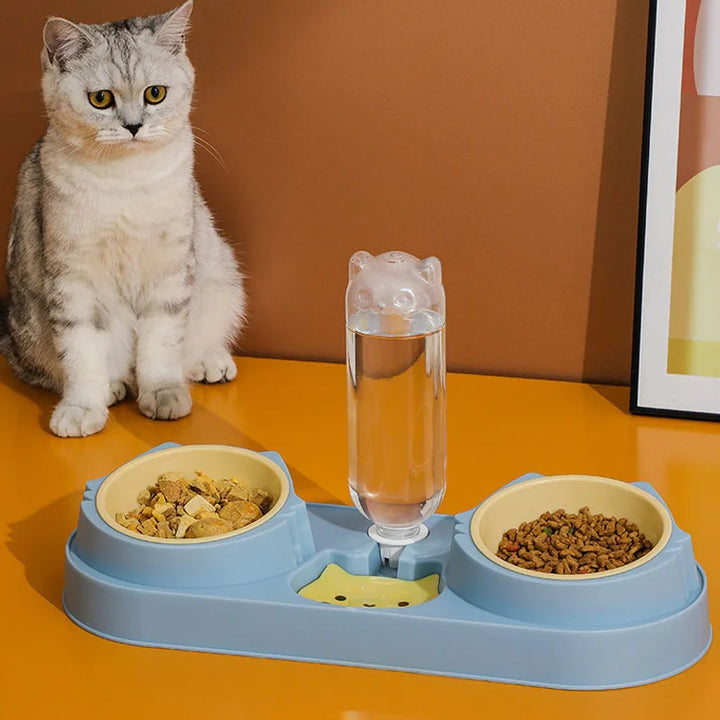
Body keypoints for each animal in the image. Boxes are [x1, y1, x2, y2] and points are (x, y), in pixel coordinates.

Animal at [0, 2, 246, 438]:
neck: (127, 180)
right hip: (27, 333)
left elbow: (162, 344)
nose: (133, 126)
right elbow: (81, 353)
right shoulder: (74, 278)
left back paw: (209, 360)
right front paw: (83, 406)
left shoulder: (170, 270)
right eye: (100, 99)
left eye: (155, 93)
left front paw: (163, 393)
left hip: (221, 276)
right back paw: (113, 386)